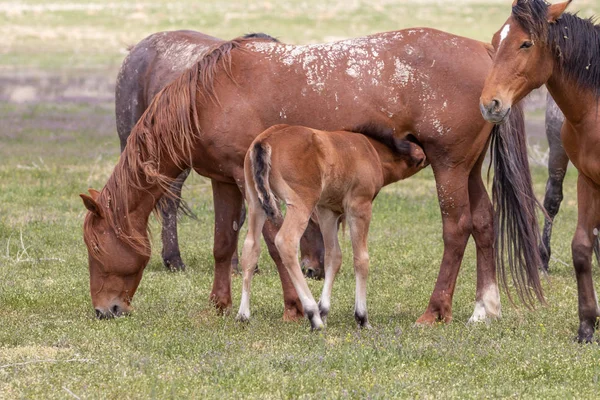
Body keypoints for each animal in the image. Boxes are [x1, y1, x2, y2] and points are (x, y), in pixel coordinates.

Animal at [237, 123, 428, 330]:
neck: (371, 150)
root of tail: (265, 140)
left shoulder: (327, 211)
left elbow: (333, 257)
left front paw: (325, 310)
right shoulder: (359, 207)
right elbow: (361, 259)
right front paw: (361, 317)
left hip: (255, 203)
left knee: (251, 247)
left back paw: (243, 315)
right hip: (301, 203)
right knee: (285, 242)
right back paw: (313, 315)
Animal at [478, 0, 600, 342]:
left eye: (526, 43)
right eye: (496, 39)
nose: (490, 104)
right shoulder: (588, 180)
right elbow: (581, 247)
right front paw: (587, 325)